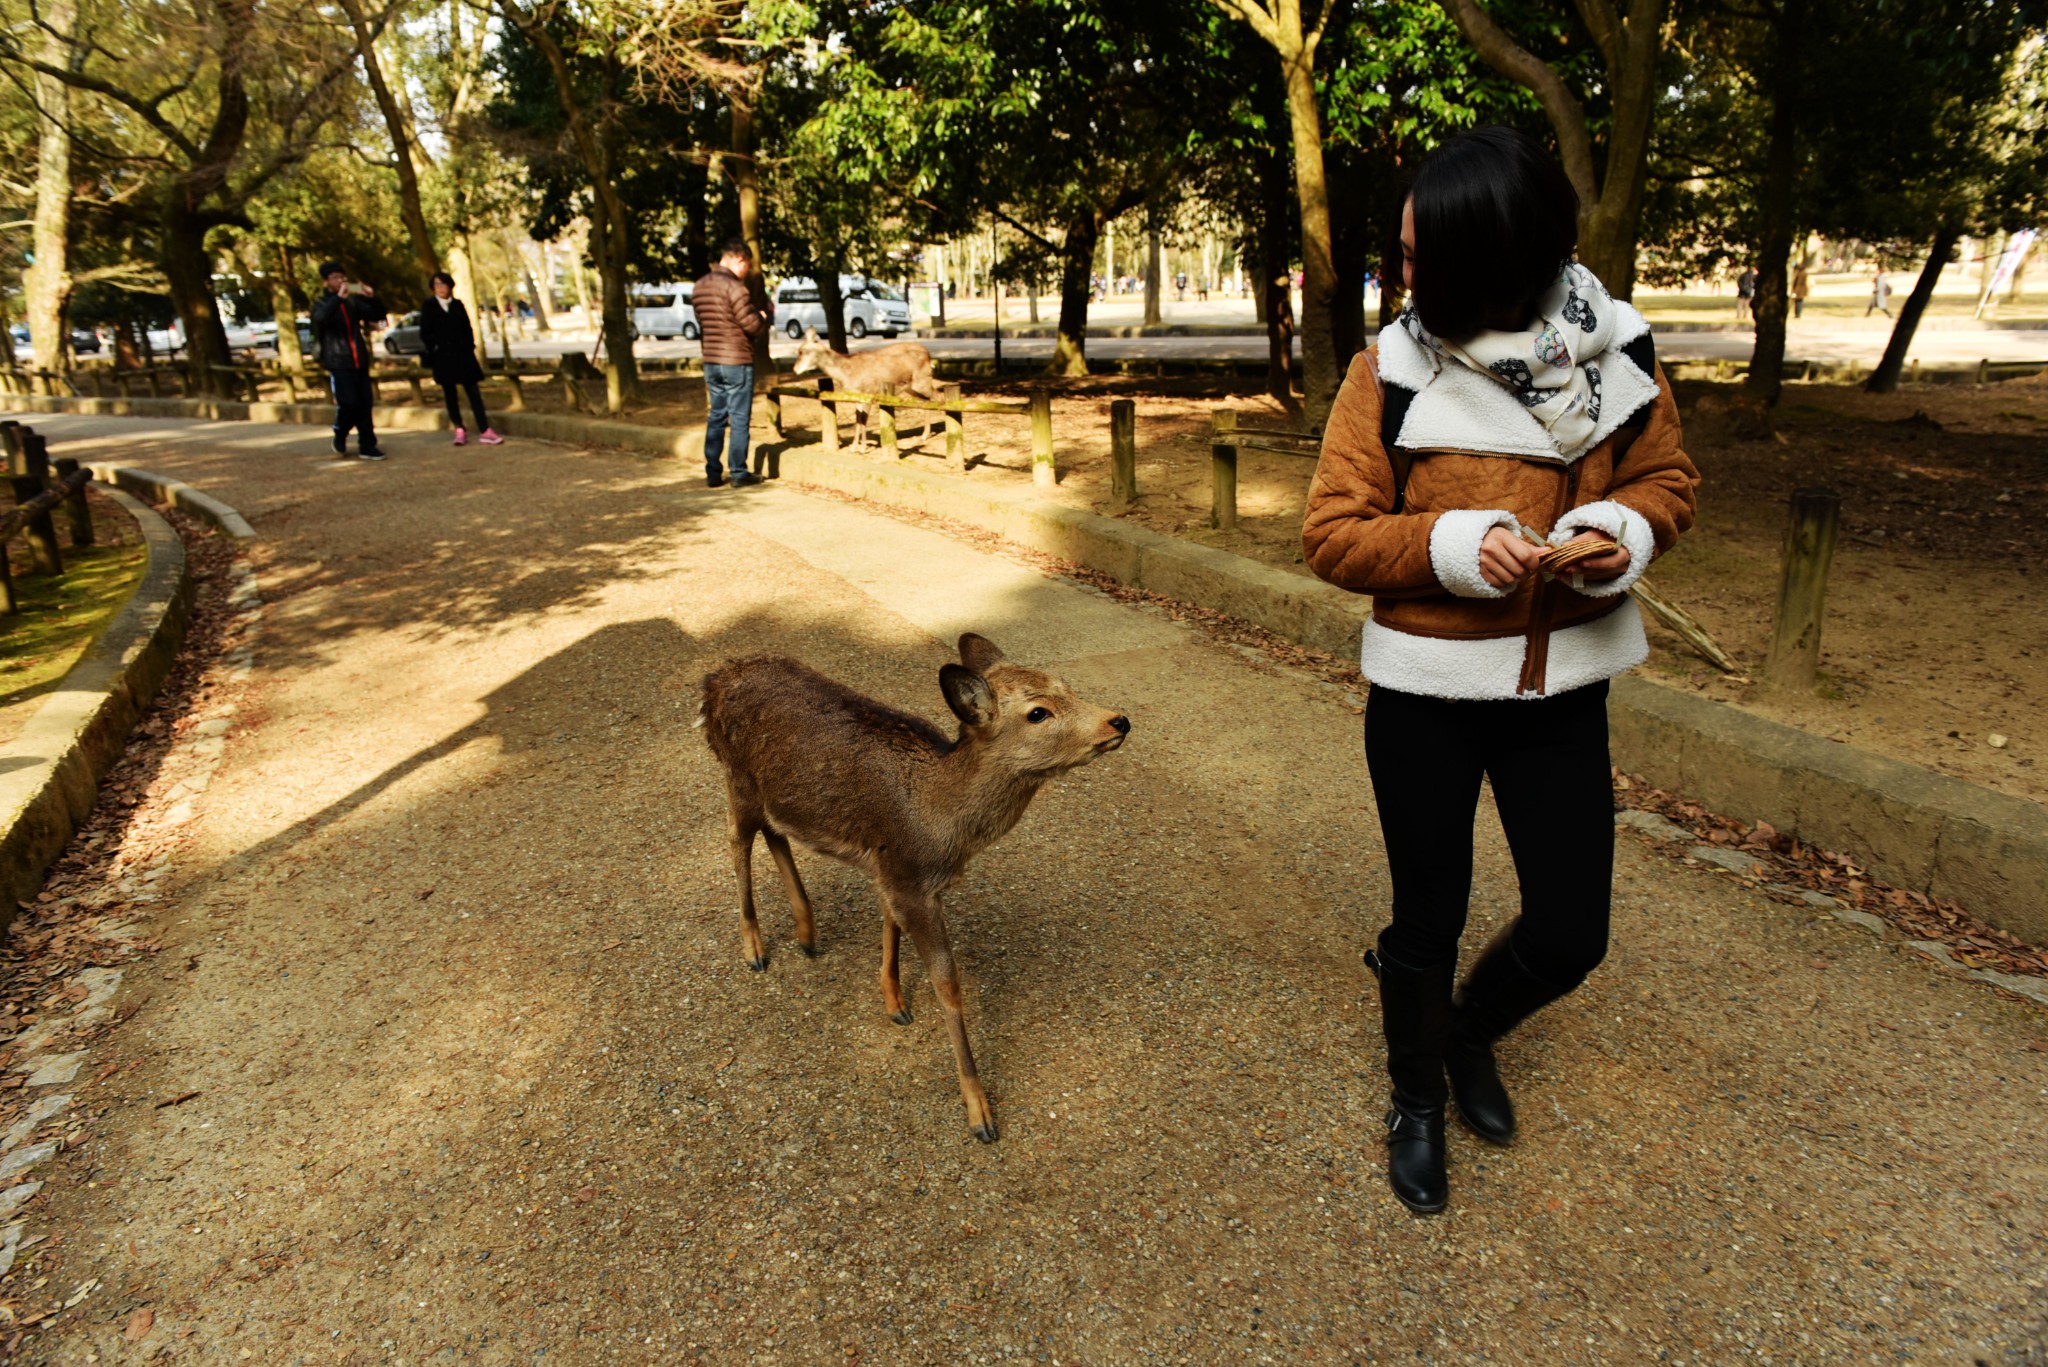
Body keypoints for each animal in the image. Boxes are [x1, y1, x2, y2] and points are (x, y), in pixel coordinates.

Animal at [696, 635, 1130, 1147]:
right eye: (1038, 712)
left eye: (1067, 685)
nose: (1119, 720)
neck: (941, 825)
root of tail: (713, 681)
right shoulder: (907, 878)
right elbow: (947, 980)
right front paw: (980, 1113)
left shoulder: (898, 871)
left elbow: (890, 924)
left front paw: (894, 1002)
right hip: (735, 774)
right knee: (736, 839)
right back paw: (755, 948)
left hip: (772, 792)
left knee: (773, 831)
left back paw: (807, 932)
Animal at [790, 325, 942, 454]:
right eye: (798, 350)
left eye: (803, 351)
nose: (795, 369)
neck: (847, 373)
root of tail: (929, 355)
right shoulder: (856, 397)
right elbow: (858, 419)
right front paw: (853, 447)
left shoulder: (868, 392)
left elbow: (864, 419)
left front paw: (863, 448)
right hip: (911, 387)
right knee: (926, 401)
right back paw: (924, 435)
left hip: (923, 380)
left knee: (938, 397)